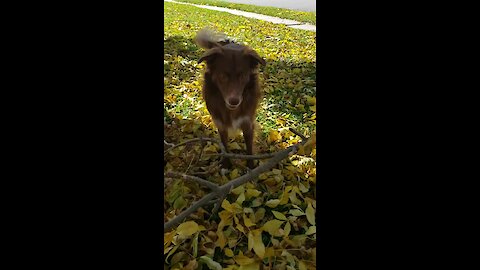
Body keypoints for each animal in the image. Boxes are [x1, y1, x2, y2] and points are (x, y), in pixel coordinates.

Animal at [195, 29, 266, 169]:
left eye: (242, 76)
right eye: (223, 75)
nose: (234, 101)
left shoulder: (248, 123)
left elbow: (249, 148)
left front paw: (251, 167)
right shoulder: (221, 125)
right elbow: (225, 146)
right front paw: (226, 165)